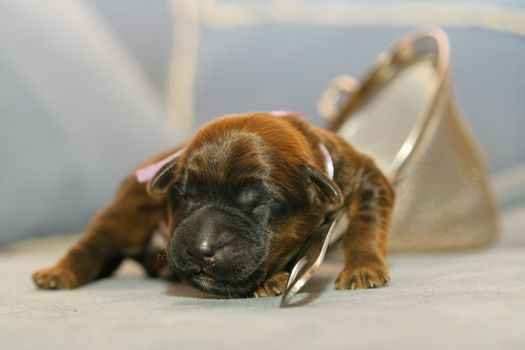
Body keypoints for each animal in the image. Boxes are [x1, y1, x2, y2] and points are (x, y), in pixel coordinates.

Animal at [31, 113, 392, 298]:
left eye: (260, 201)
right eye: (183, 195)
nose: (200, 250)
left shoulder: (365, 178)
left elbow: (366, 226)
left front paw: (363, 267)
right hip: (124, 215)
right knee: (92, 245)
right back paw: (58, 273)